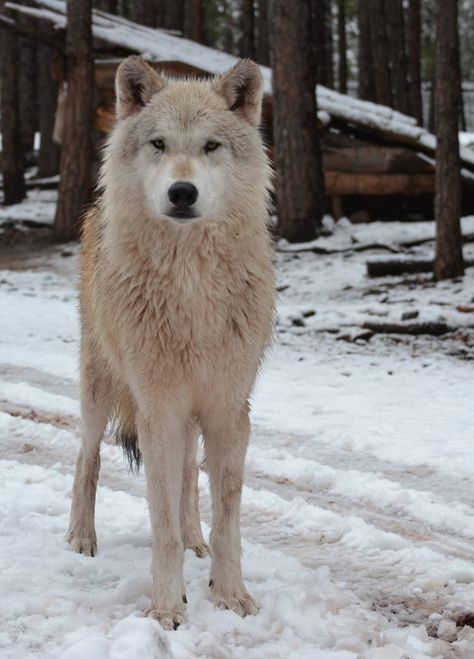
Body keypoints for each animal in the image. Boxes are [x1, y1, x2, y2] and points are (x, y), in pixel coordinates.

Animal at [65, 55, 276, 628]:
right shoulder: (157, 407)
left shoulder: (228, 408)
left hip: (190, 412)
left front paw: (231, 596)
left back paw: (193, 540)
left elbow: (227, 519)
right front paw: (165, 607)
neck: (192, 287)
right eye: (159, 144)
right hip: (100, 390)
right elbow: (159, 524)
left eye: (211, 146)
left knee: (187, 478)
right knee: (87, 459)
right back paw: (81, 538)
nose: (183, 193)